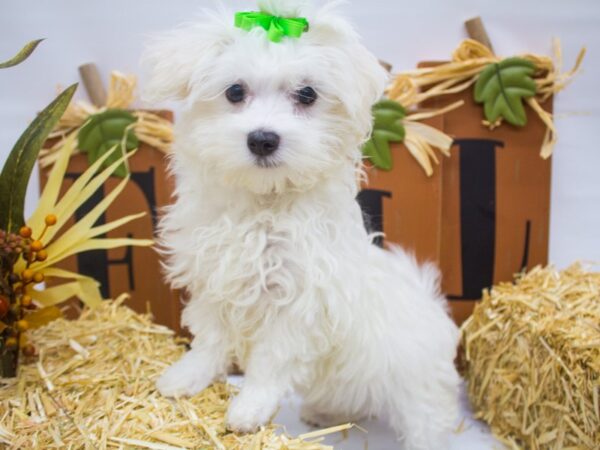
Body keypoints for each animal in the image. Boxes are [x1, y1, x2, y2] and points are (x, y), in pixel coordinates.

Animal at [144, 1, 460, 448]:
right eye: (234, 92)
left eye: (307, 94)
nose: (262, 139)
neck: (264, 204)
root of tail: (431, 303)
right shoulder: (214, 278)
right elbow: (210, 337)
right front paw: (187, 377)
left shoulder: (299, 302)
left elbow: (270, 362)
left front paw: (249, 409)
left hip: (420, 387)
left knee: (428, 419)